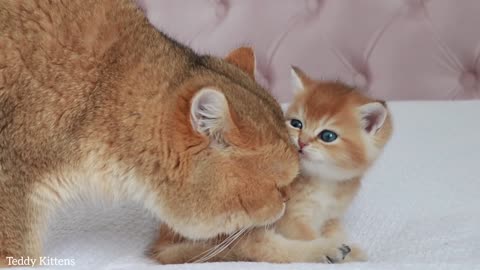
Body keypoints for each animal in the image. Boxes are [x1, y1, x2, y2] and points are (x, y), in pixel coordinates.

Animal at [152, 67, 392, 264]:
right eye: (296, 123)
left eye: (328, 136)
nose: (301, 142)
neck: (325, 184)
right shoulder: (291, 218)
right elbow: (307, 235)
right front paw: (343, 250)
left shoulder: (331, 217)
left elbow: (336, 231)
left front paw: (348, 247)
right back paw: (327, 252)